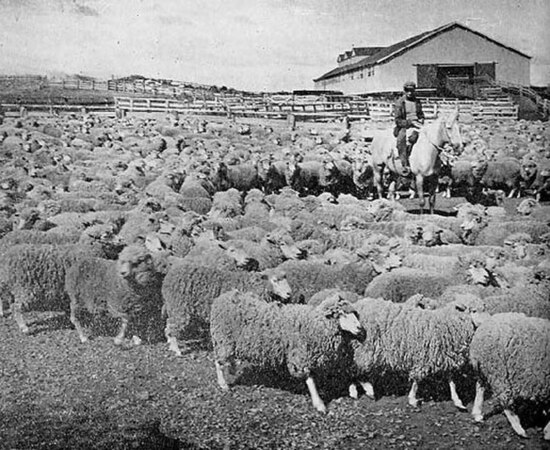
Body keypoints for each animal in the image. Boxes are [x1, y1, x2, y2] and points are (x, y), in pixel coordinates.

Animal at [163, 264, 296, 356]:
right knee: (171, 327)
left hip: (175, 308)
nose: (289, 293)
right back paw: (176, 350)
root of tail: (168, 278)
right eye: (275, 280)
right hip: (179, 308)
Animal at [209, 290, 364, 414]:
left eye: (354, 313)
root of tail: (224, 296)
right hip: (223, 339)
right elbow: (310, 380)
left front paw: (352, 389)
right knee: (218, 361)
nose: (360, 328)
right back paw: (223, 384)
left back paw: (232, 369)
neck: (314, 324)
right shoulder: (300, 355)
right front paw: (319, 404)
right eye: (342, 314)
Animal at [352, 298, 480, 410]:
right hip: (366, 347)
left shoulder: (445, 357)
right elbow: (417, 380)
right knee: (356, 367)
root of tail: (359, 304)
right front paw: (412, 399)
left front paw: (458, 401)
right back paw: (367, 390)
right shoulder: (424, 358)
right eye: (474, 310)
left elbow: (451, 381)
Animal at [470, 312, 550, 440]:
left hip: (485, 368)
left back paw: (477, 414)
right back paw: (519, 429)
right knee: (505, 400)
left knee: (480, 387)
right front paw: (547, 432)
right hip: (498, 371)